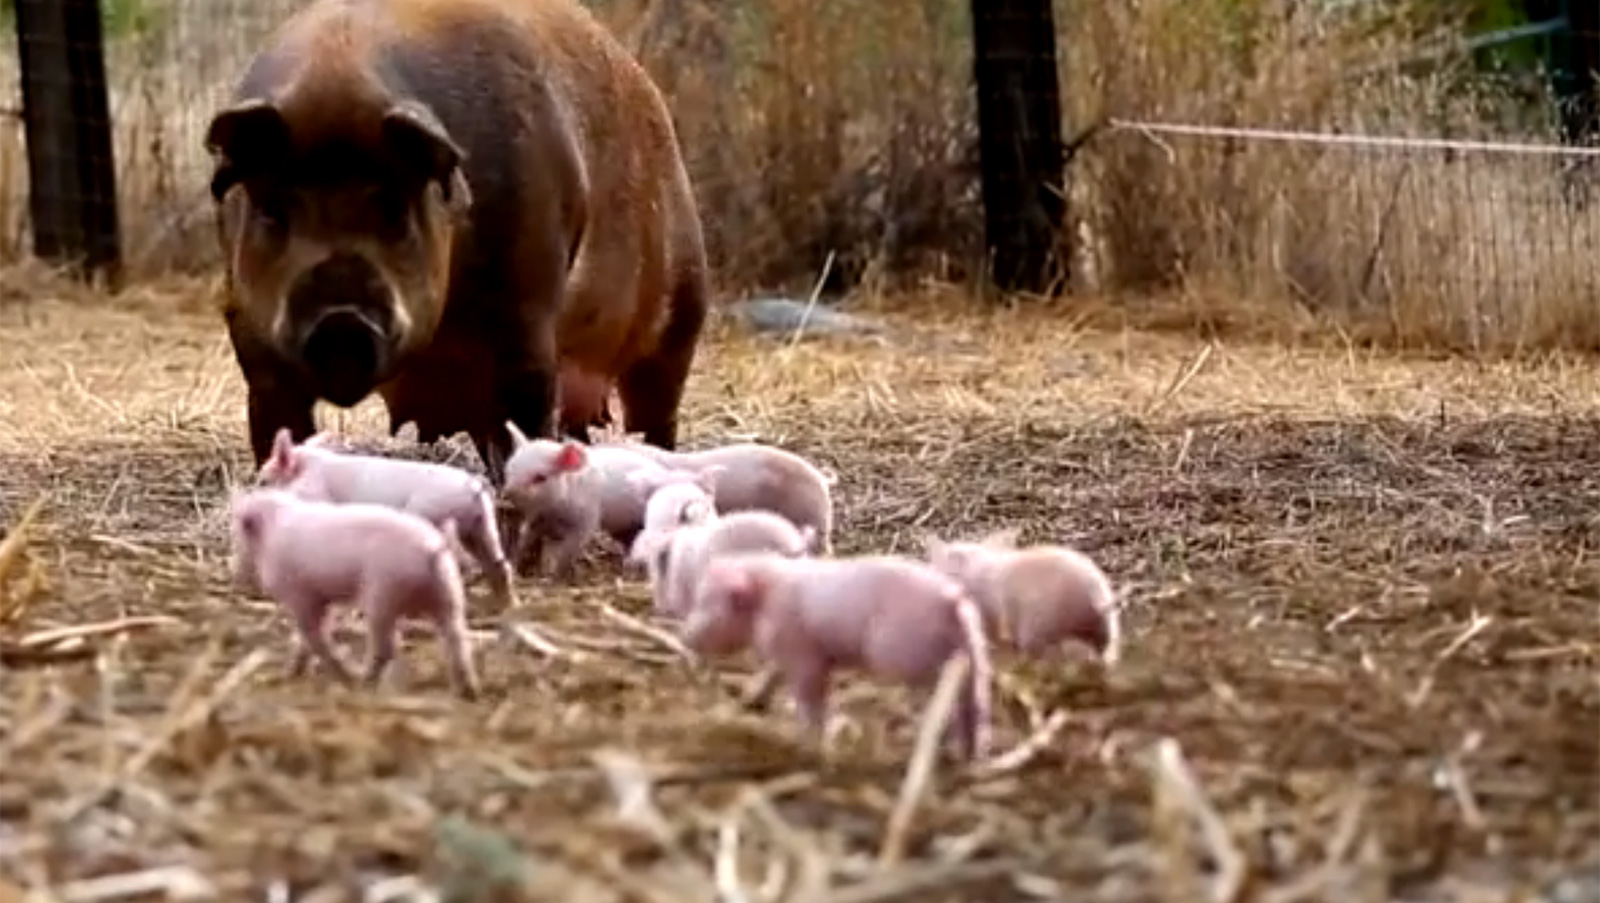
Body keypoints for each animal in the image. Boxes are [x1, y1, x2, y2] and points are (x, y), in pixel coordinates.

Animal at [205, 0, 710, 487]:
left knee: (654, 413)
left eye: (395, 209)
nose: (341, 321)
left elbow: (528, 410)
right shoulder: (253, 341)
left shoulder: (527, 308)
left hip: (684, 309)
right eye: (273, 210)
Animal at [228, 487, 480, 700]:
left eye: (238, 531)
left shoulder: (300, 596)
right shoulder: (320, 600)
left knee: (387, 647)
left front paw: (339, 675)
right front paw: (289, 674)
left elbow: (313, 636)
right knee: (457, 640)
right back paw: (468, 691)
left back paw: (362, 681)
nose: (235, 576)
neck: (271, 533)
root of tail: (432, 550)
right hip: (449, 593)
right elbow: (306, 638)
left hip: (383, 595)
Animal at [255, 427, 517, 611]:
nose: (252, 492)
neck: (306, 468)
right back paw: (507, 606)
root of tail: (475, 487)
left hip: (432, 515)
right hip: (481, 526)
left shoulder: (316, 495)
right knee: (498, 563)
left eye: (264, 481)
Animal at [499, 423, 693, 577]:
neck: (555, 509)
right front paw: (514, 567)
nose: (505, 498)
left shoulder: (588, 518)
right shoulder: (540, 519)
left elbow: (569, 550)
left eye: (540, 478)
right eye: (509, 470)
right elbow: (525, 540)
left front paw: (556, 577)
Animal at [683, 553, 993, 762]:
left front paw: (810, 743)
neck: (765, 602)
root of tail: (952, 602)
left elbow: (810, 699)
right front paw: (752, 700)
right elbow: (773, 674)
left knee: (946, 705)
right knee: (974, 704)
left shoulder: (804, 656)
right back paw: (971, 755)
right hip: (974, 655)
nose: (686, 636)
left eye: (708, 603)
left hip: (911, 657)